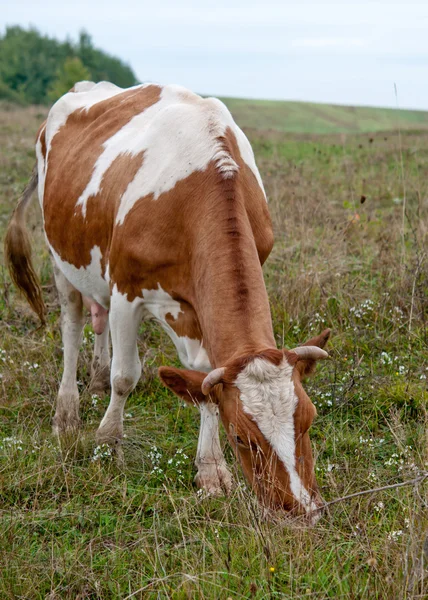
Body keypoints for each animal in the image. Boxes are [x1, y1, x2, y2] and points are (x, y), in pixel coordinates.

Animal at [4, 82, 332, 516]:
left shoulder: (197, 308)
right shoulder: (126, 292)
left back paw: (95, 380)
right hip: (61, 258)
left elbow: (205, 378)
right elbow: (125, 376)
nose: (302, 511)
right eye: (241, 437)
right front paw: (107, 445)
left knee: (97, 318)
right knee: (72, 326)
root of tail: (87, 87)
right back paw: (67, 412)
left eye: (309, 420)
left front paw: (211, 470)